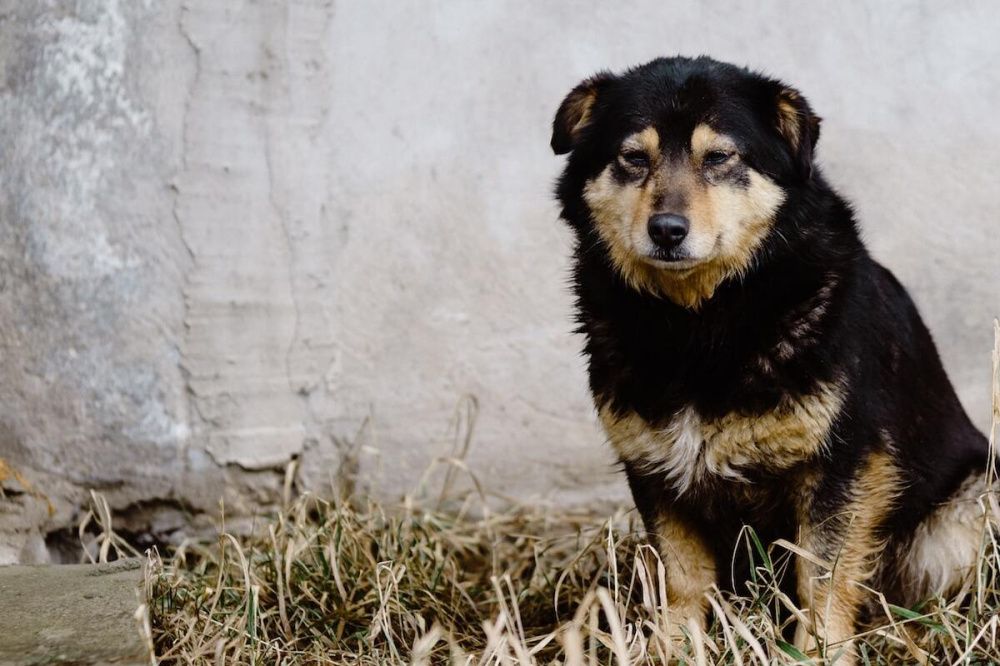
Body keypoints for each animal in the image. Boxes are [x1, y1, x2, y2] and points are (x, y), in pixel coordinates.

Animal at [552, 55, 996, 660]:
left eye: (720, 158)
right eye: (633, 158)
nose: (666, 231)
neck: (699, 323)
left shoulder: (844, 464)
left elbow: (822, 579)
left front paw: (820, 653)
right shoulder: (653, 467)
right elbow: (682, 577)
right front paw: (675, 648)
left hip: (969, 506)